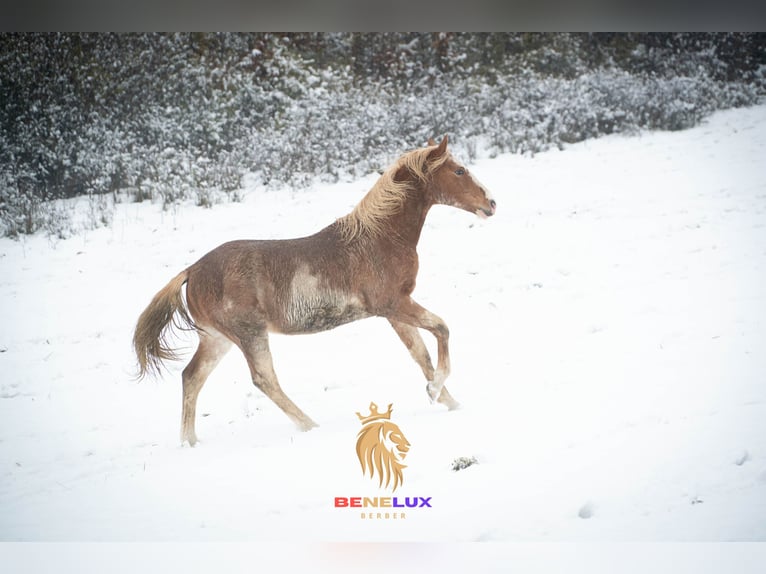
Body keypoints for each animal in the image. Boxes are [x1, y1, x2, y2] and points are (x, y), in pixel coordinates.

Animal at [133, 137, 498, 448]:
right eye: (459, 170)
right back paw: (311, 426)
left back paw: (190, 443)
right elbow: (442, 329)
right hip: (249, 334)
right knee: (263, 379)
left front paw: (449, 401)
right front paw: (435, 391)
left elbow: (421, 356)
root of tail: (192, 271)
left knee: (191, 377)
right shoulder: (394, 304)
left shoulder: (393, 312)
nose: (491, 203)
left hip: (217, 339)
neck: (379, 238)